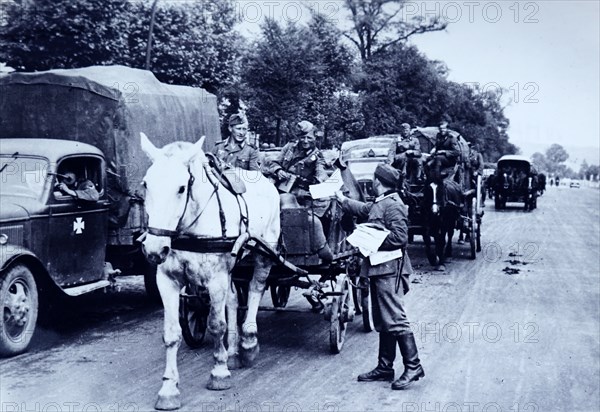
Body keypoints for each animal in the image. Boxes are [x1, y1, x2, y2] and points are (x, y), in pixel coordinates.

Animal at [141, 134, 282, 410]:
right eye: (146, 185)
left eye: (181, 188)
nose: (153, 249)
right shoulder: (167, 280)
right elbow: (171, 334)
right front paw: (168, 389)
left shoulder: (216, 278)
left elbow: (216, 324)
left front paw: (219, 372)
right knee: (234, 300)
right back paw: (235, 352)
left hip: (264, 253)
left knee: (255, 290)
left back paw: (249, 342)